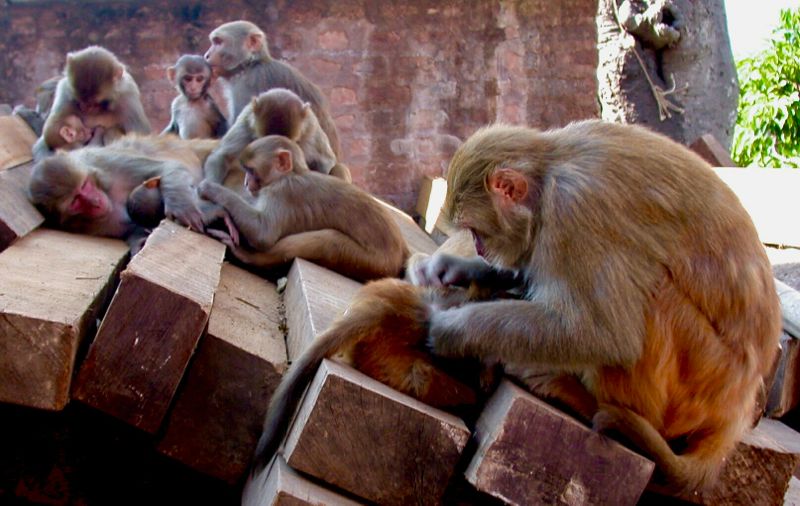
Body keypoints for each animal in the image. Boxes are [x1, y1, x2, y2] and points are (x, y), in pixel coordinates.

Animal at [198, 135, 406, 281]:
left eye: (250, 170)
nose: (246, 182)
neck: (293, 173)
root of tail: (400, 252)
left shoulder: (281, 193)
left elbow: (263, 234)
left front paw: (211, 189)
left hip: (371, 262)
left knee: (329, 241)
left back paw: (248, 257)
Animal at [409, 120, 781, 497]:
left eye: (476, 230)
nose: (480, 249)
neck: (550, 170)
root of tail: (738, 405)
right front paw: (453, 269)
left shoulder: (573, 210)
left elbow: (602, 335)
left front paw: (451, 331)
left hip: (698, 379)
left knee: (649, 290)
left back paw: (586, 400)